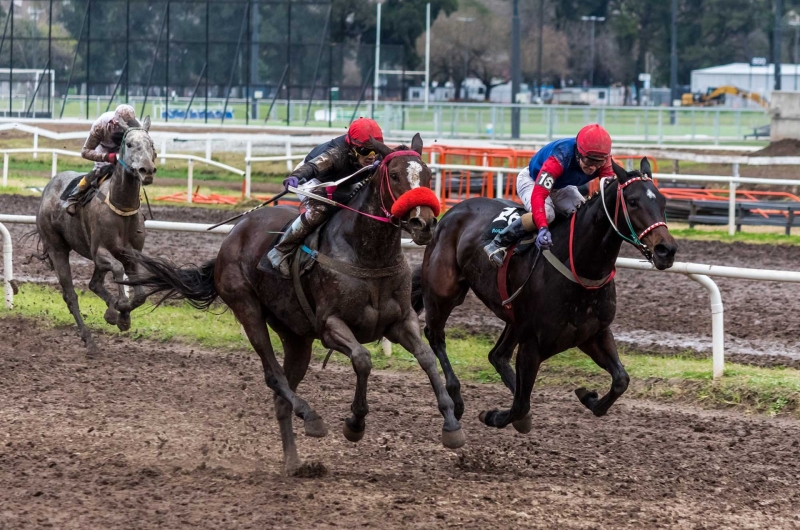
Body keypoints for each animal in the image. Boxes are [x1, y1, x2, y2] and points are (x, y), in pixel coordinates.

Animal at [34, 115, 156, 350]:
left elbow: (139, 296)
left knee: (94, 284)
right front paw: (119, 310)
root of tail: (48, 187)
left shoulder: (132, 253)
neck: (121, 205)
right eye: (129, 144)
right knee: (70, 295)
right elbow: (118, 270)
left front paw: (120, 315)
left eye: (151, 144)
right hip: (57, 248)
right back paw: (88, 339)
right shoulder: (100, 251)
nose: (147, 170)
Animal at [124, 134, 462, 472]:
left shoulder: (400, 321)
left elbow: (427, 359)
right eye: (394, 175)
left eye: (427, 175)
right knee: (274, 375)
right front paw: (355, 423)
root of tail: (231, 238)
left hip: (296, 336)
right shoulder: (330, 326)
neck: (368, 254)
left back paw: (293, 461)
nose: (423, 223)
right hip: (248, 309)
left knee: (281, 394)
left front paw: (451, 424)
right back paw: (311, 417)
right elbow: (363, 359)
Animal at [410, 157, 680, 428]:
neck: (579, 267)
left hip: (514, 318)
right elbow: (520, 405)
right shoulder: (533, 344)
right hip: (444, 293)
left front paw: (588, 396)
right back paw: (455, 398)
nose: (666, 250)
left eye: (662, 201)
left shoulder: (593, 333)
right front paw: (493, 415)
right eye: (633, 201)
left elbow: (621, 380)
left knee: (497, 356)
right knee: (436, 336)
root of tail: (451, 213)